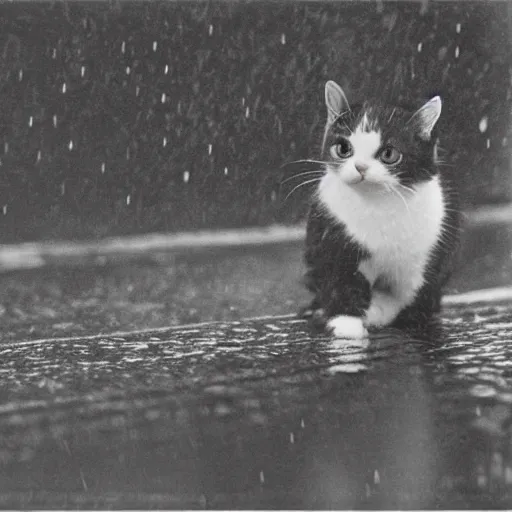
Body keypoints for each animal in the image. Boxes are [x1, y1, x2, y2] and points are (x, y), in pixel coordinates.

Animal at [298, 80, 462, 338]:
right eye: (343, 149)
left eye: (389, 154)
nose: (360, 166)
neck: (379, 204)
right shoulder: (332, 234)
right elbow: (340, 280)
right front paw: (347, 326)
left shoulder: (426, 255)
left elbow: (411, 293)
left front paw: (408, 321)